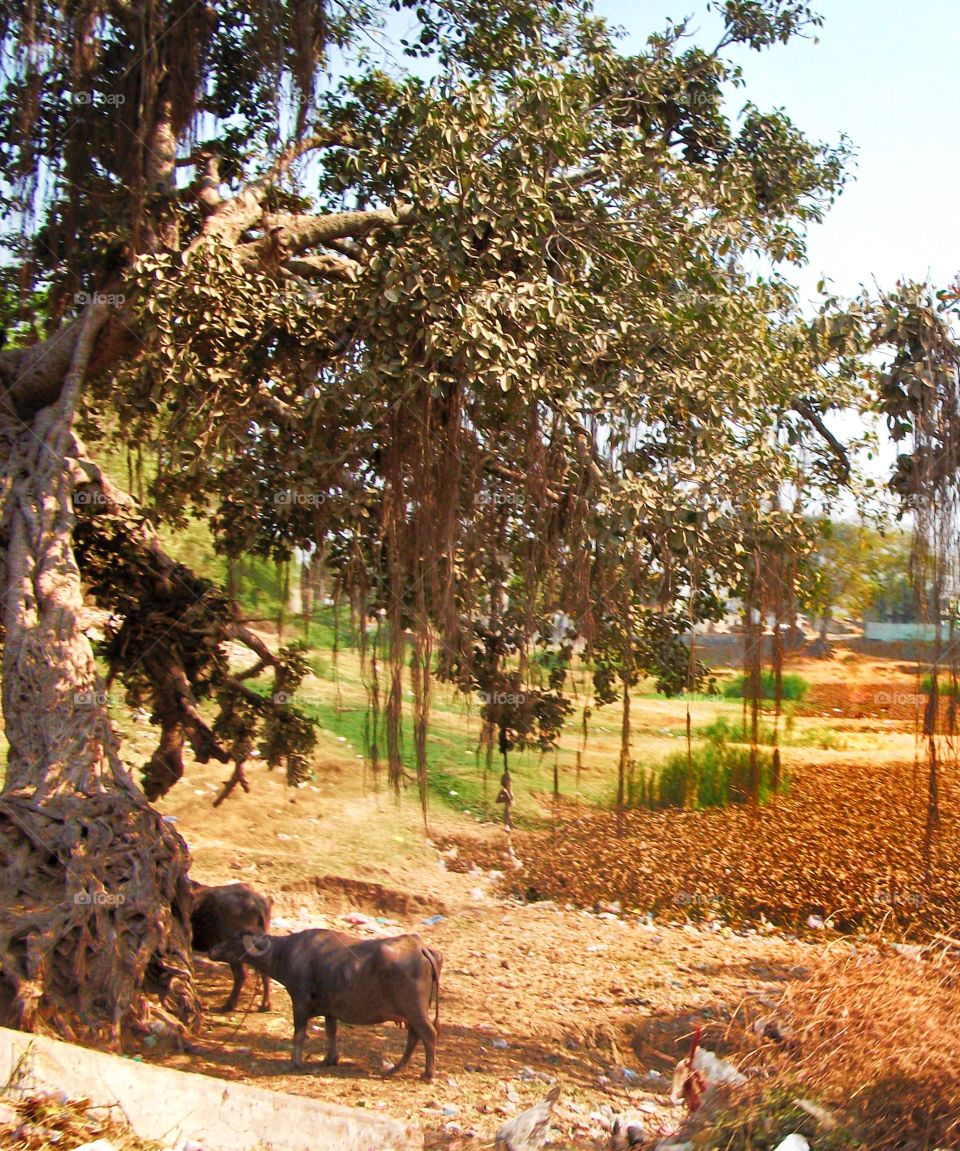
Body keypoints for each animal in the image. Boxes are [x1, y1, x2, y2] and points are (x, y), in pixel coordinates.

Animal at [211, 925, 439, 1077]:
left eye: (233, 939)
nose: (212, 950)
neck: (288, 954)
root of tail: (420, 948)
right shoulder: (330, 1010)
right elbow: (331, 1033)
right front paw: (331, 1058)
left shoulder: (299, 1002)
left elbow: (299, 1034)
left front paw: (295, 1062)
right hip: (412, 1014)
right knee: (414, 1037)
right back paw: (397, 1068)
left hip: (415, 1010)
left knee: (428, 1034)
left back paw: (427, 1074)